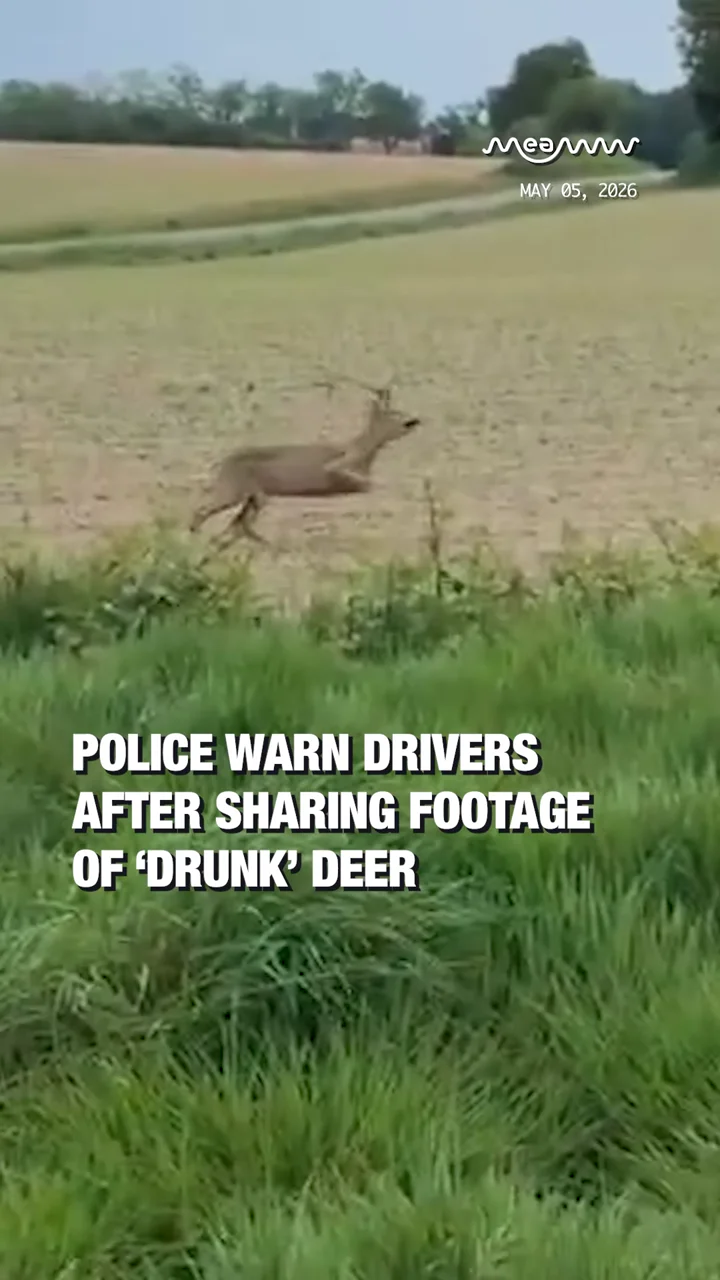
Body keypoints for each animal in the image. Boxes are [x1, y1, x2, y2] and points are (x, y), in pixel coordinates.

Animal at [188, 377, 421, 550]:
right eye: (394, 414)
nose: (413, 421)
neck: (362, 449)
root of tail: (225, 462)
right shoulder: (337, 469)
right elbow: (371, 483)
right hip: (234, 493)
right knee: (204, 511)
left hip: (256, 497)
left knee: (239, 524)